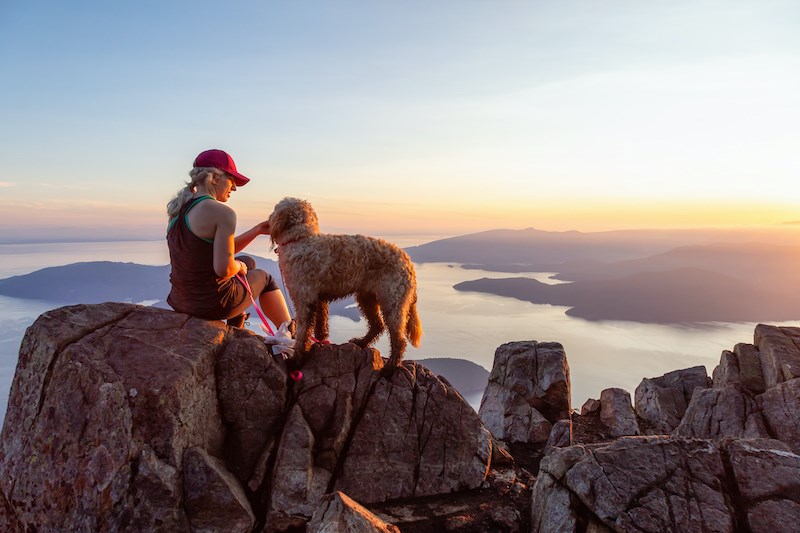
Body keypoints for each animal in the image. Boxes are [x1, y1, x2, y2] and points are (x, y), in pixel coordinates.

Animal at [268, 196, 422, 370]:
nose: (267, 220)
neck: (301, 239)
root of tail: (408, 262)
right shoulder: (318, 299)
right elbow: (321, 325)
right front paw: (320, 341)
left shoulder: (304, 301)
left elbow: (302, 333)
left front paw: (297, 360)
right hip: (367, 297)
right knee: (377, 325)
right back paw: (361, 342)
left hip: (392, 304)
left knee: (399, 340)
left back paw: (390, 367)